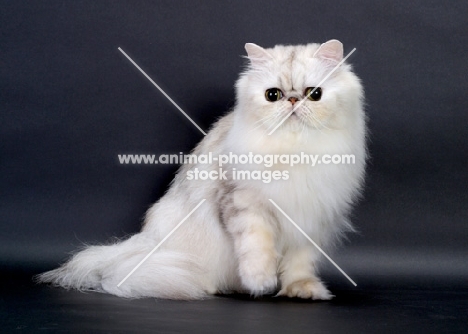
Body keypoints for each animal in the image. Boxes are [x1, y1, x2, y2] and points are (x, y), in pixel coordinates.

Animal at [37, 39, 366, 300]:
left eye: (314, 94)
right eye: (273, 95)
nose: (294, 100)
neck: (296, 150)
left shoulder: (312, 220)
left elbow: (300, 264)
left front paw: (302, 290)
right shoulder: (244, 204)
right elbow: (257, 250)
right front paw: (261, 283)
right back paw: (213, 287)